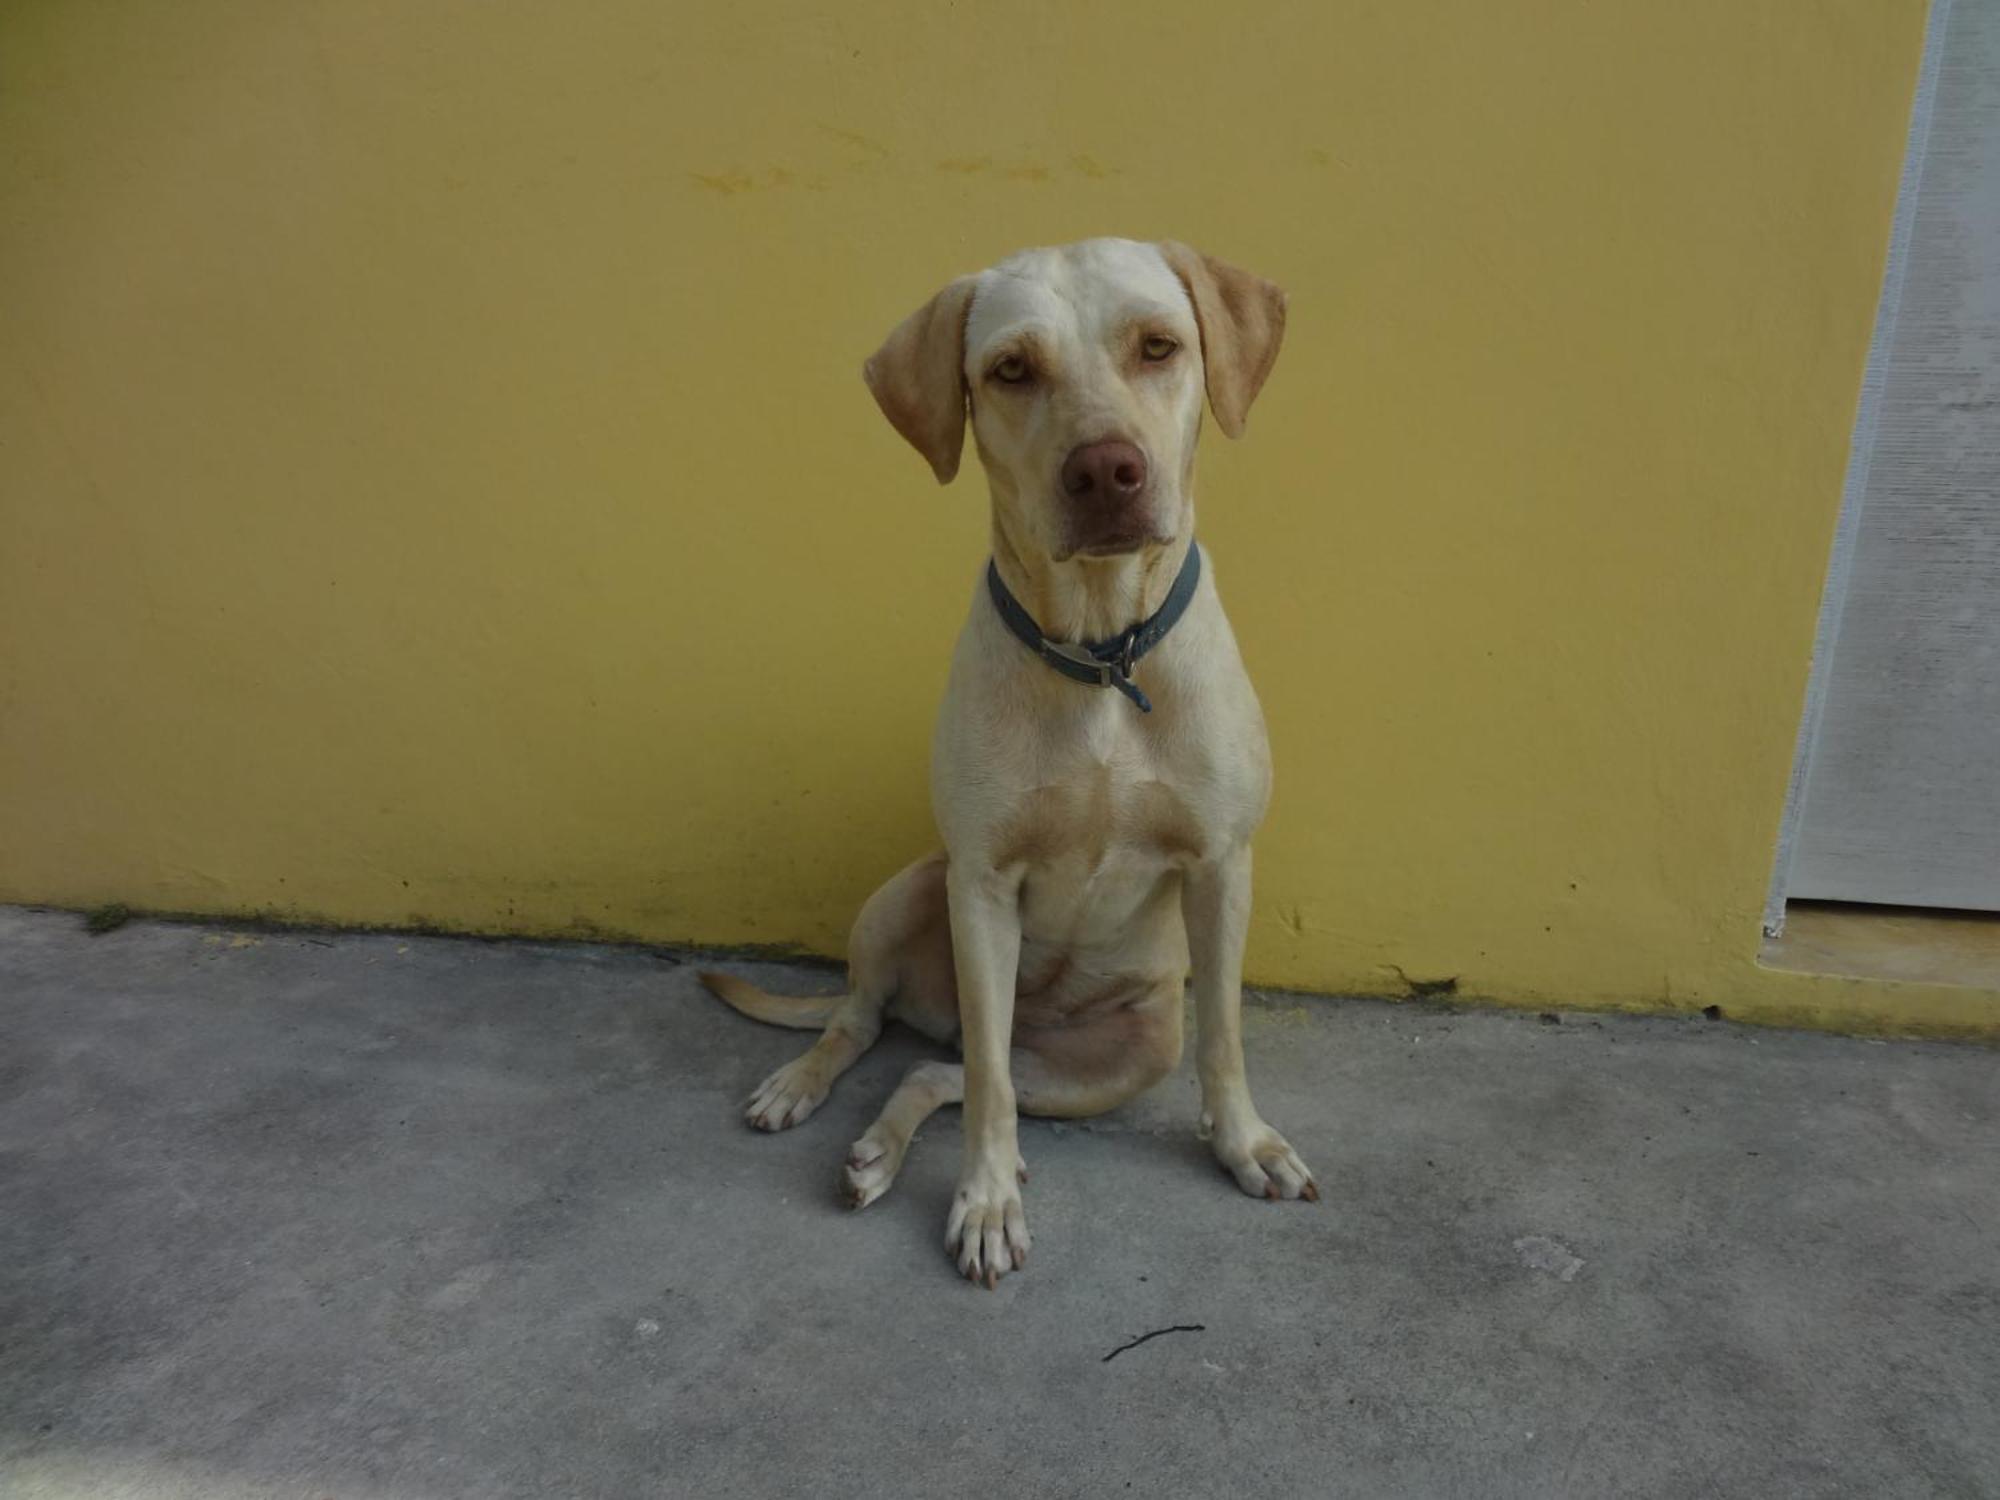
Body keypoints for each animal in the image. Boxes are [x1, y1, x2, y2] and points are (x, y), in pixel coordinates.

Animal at [700, 238, 1312, 1296]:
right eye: (1012, 370)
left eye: (1159, 347)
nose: (1106, 469)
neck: (1103, 651)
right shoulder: (981, 884)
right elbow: (987, 1079)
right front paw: (986, 1202)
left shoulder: (1223, 865)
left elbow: (1225, 1035)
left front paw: (1245, 1142)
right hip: (911, 890)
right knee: (880, 1027)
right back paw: (805, 1087)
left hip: (1124, 1054)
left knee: (935, 1069)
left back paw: (883, 1148)